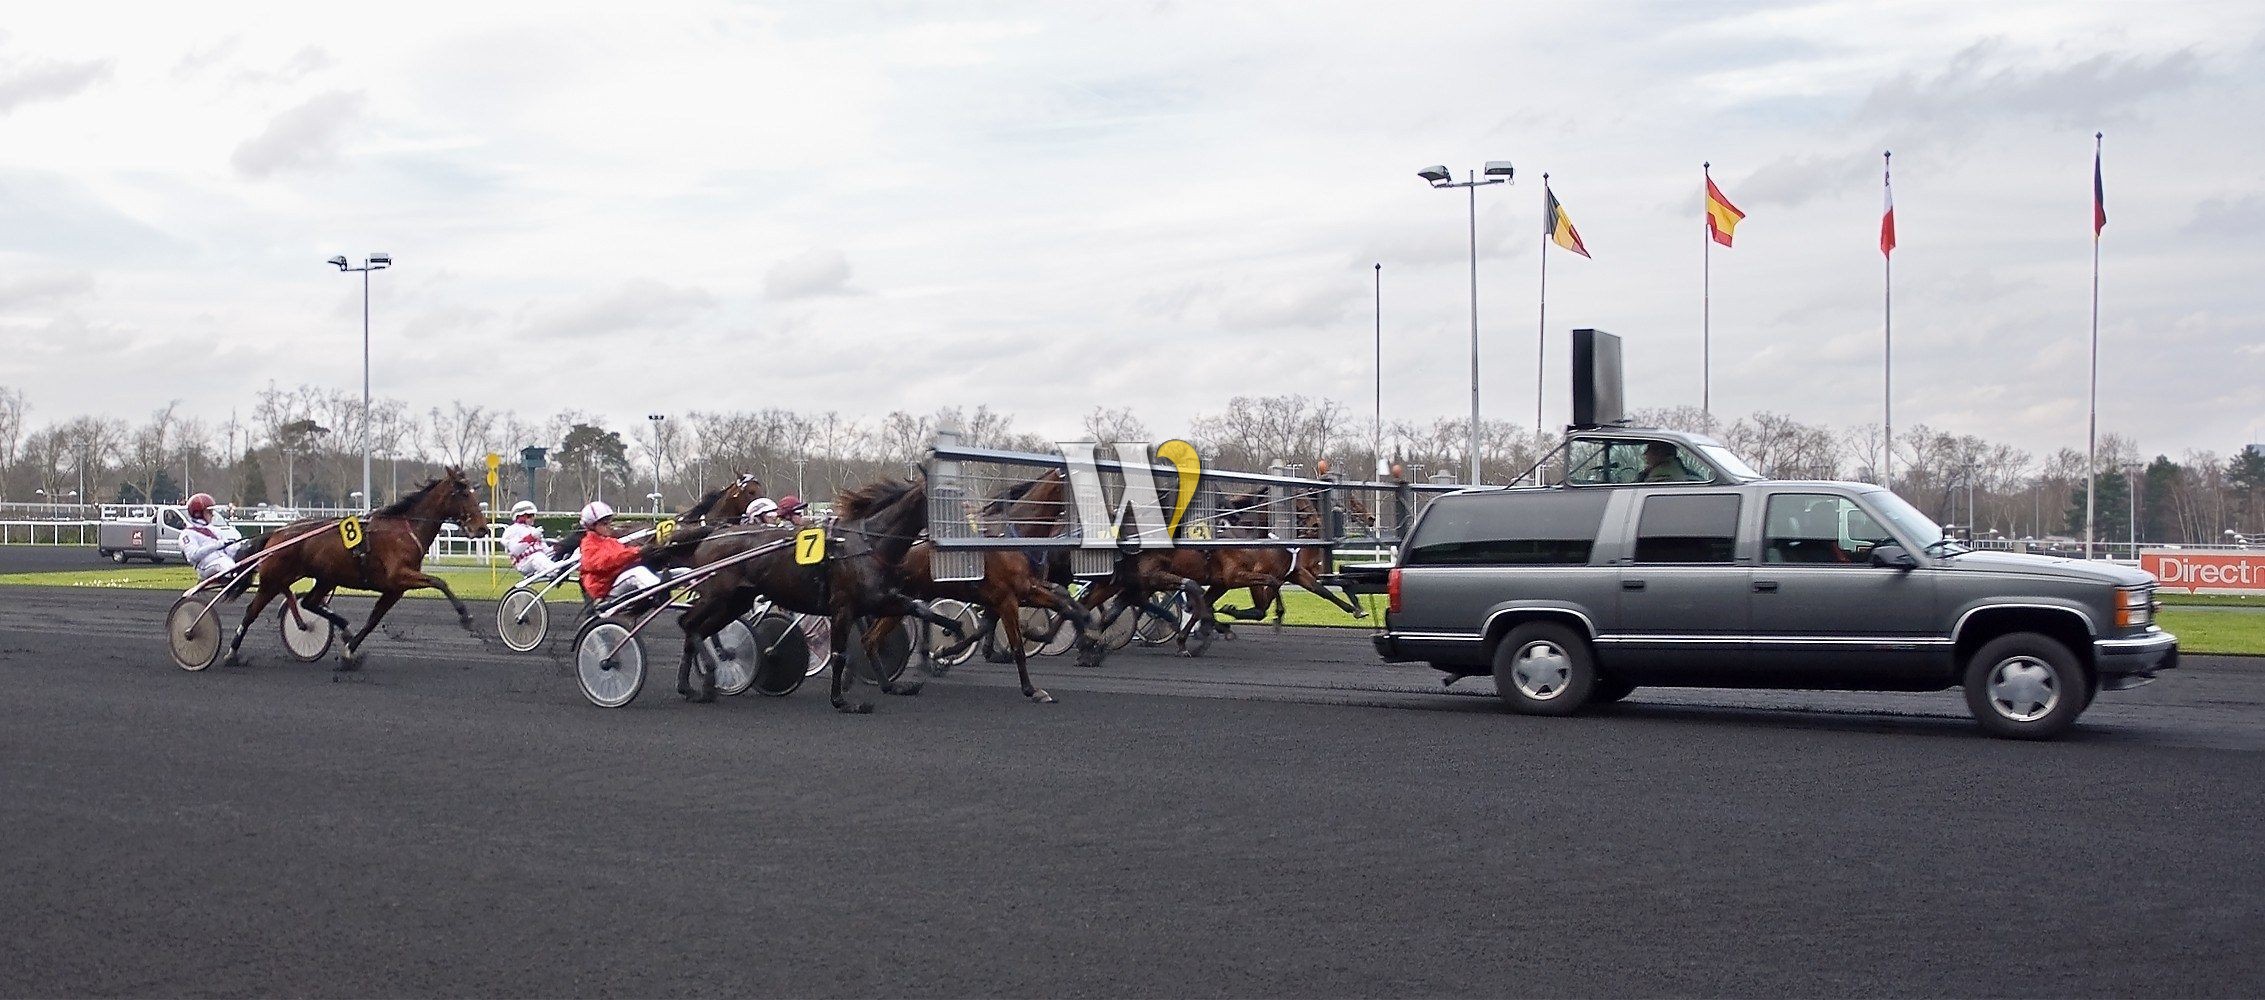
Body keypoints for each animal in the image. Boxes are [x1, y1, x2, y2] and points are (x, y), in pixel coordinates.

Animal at [220, 468, 491, 669]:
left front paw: (350, 652)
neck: (405, 530)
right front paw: (466, 618)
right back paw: (231, 653)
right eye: (463, 494)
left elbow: (373, 620)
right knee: (251, 611)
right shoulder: (400, 576)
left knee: (308, 602)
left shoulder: (394, 589)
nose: (482, 528)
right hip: (273, 580)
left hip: (325, 578)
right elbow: (439, 582)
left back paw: (342, 628)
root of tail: (276, 533)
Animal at [638, 477, 964, 710]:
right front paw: (842, 701)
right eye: (944, 500)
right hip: (718, 596)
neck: (866, 543)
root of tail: (713, 534)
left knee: (696, 628)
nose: (965, 528)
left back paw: (696, 686)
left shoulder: (877, 599)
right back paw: (706, 675)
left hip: (734, 602)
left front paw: (951, 640)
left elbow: (913, 613)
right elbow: (840, 653)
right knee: (688, 624)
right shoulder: (843, 607)